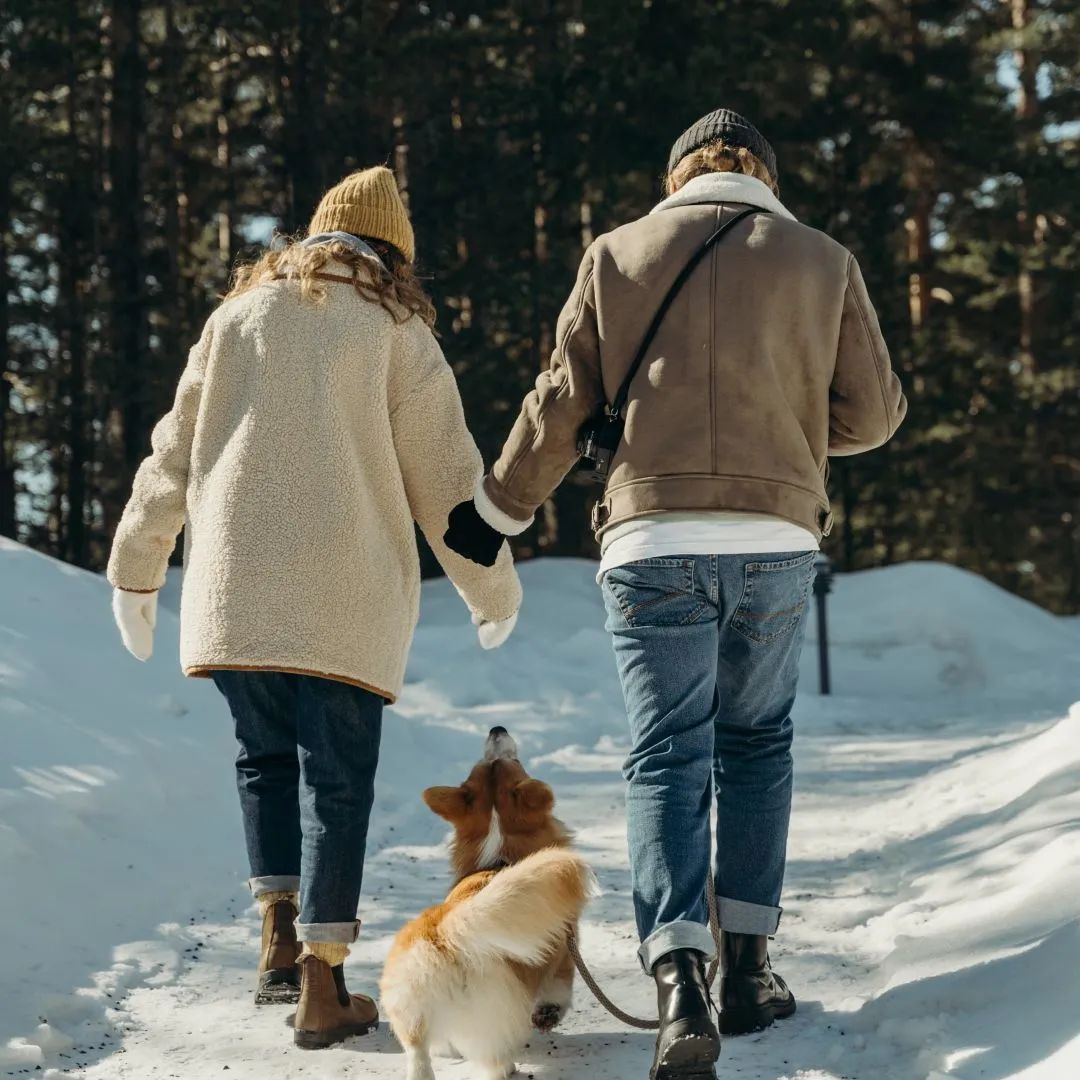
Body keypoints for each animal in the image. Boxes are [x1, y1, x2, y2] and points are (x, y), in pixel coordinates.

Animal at [382, 725, 600, 1080]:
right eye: (517, 761)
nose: (497, 729)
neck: (499, 851)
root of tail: (445, 935)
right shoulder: (565, 953)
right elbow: (559, 990)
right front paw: (548, 1014)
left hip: (410, 1013)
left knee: (418, 1054)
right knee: (493, 1063)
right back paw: (508, 1067)